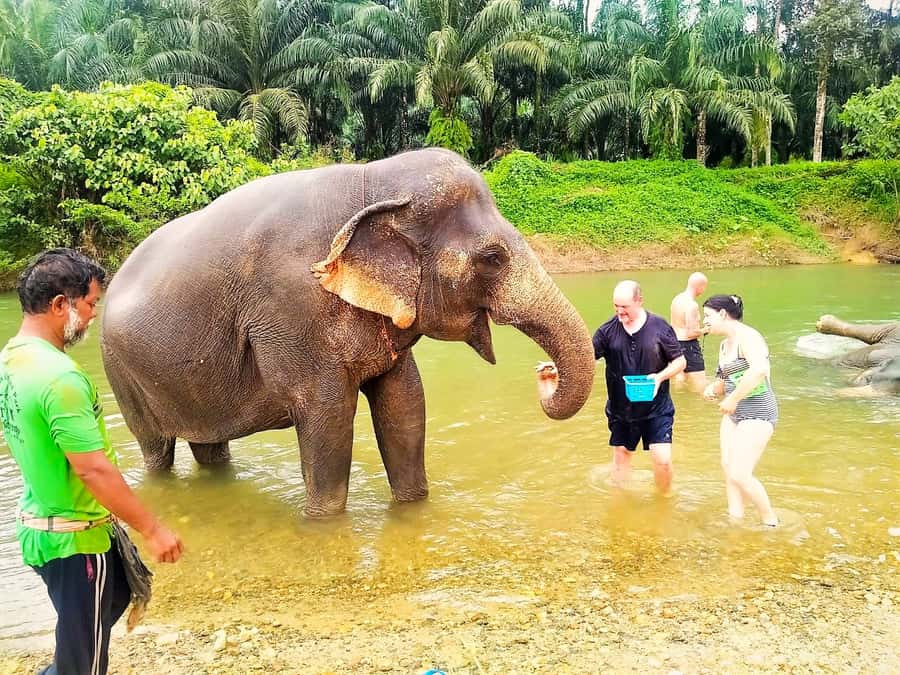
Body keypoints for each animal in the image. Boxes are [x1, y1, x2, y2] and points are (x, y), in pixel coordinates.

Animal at [101, 148, 596, 516]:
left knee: (209, 445)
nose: (544, 374)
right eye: (492, 258)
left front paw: (413, 509)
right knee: (156, 449)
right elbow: (328, 417)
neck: (370, 182)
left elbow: (405, 405)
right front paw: (323, 522)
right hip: (122, 374)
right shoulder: (291, 310)